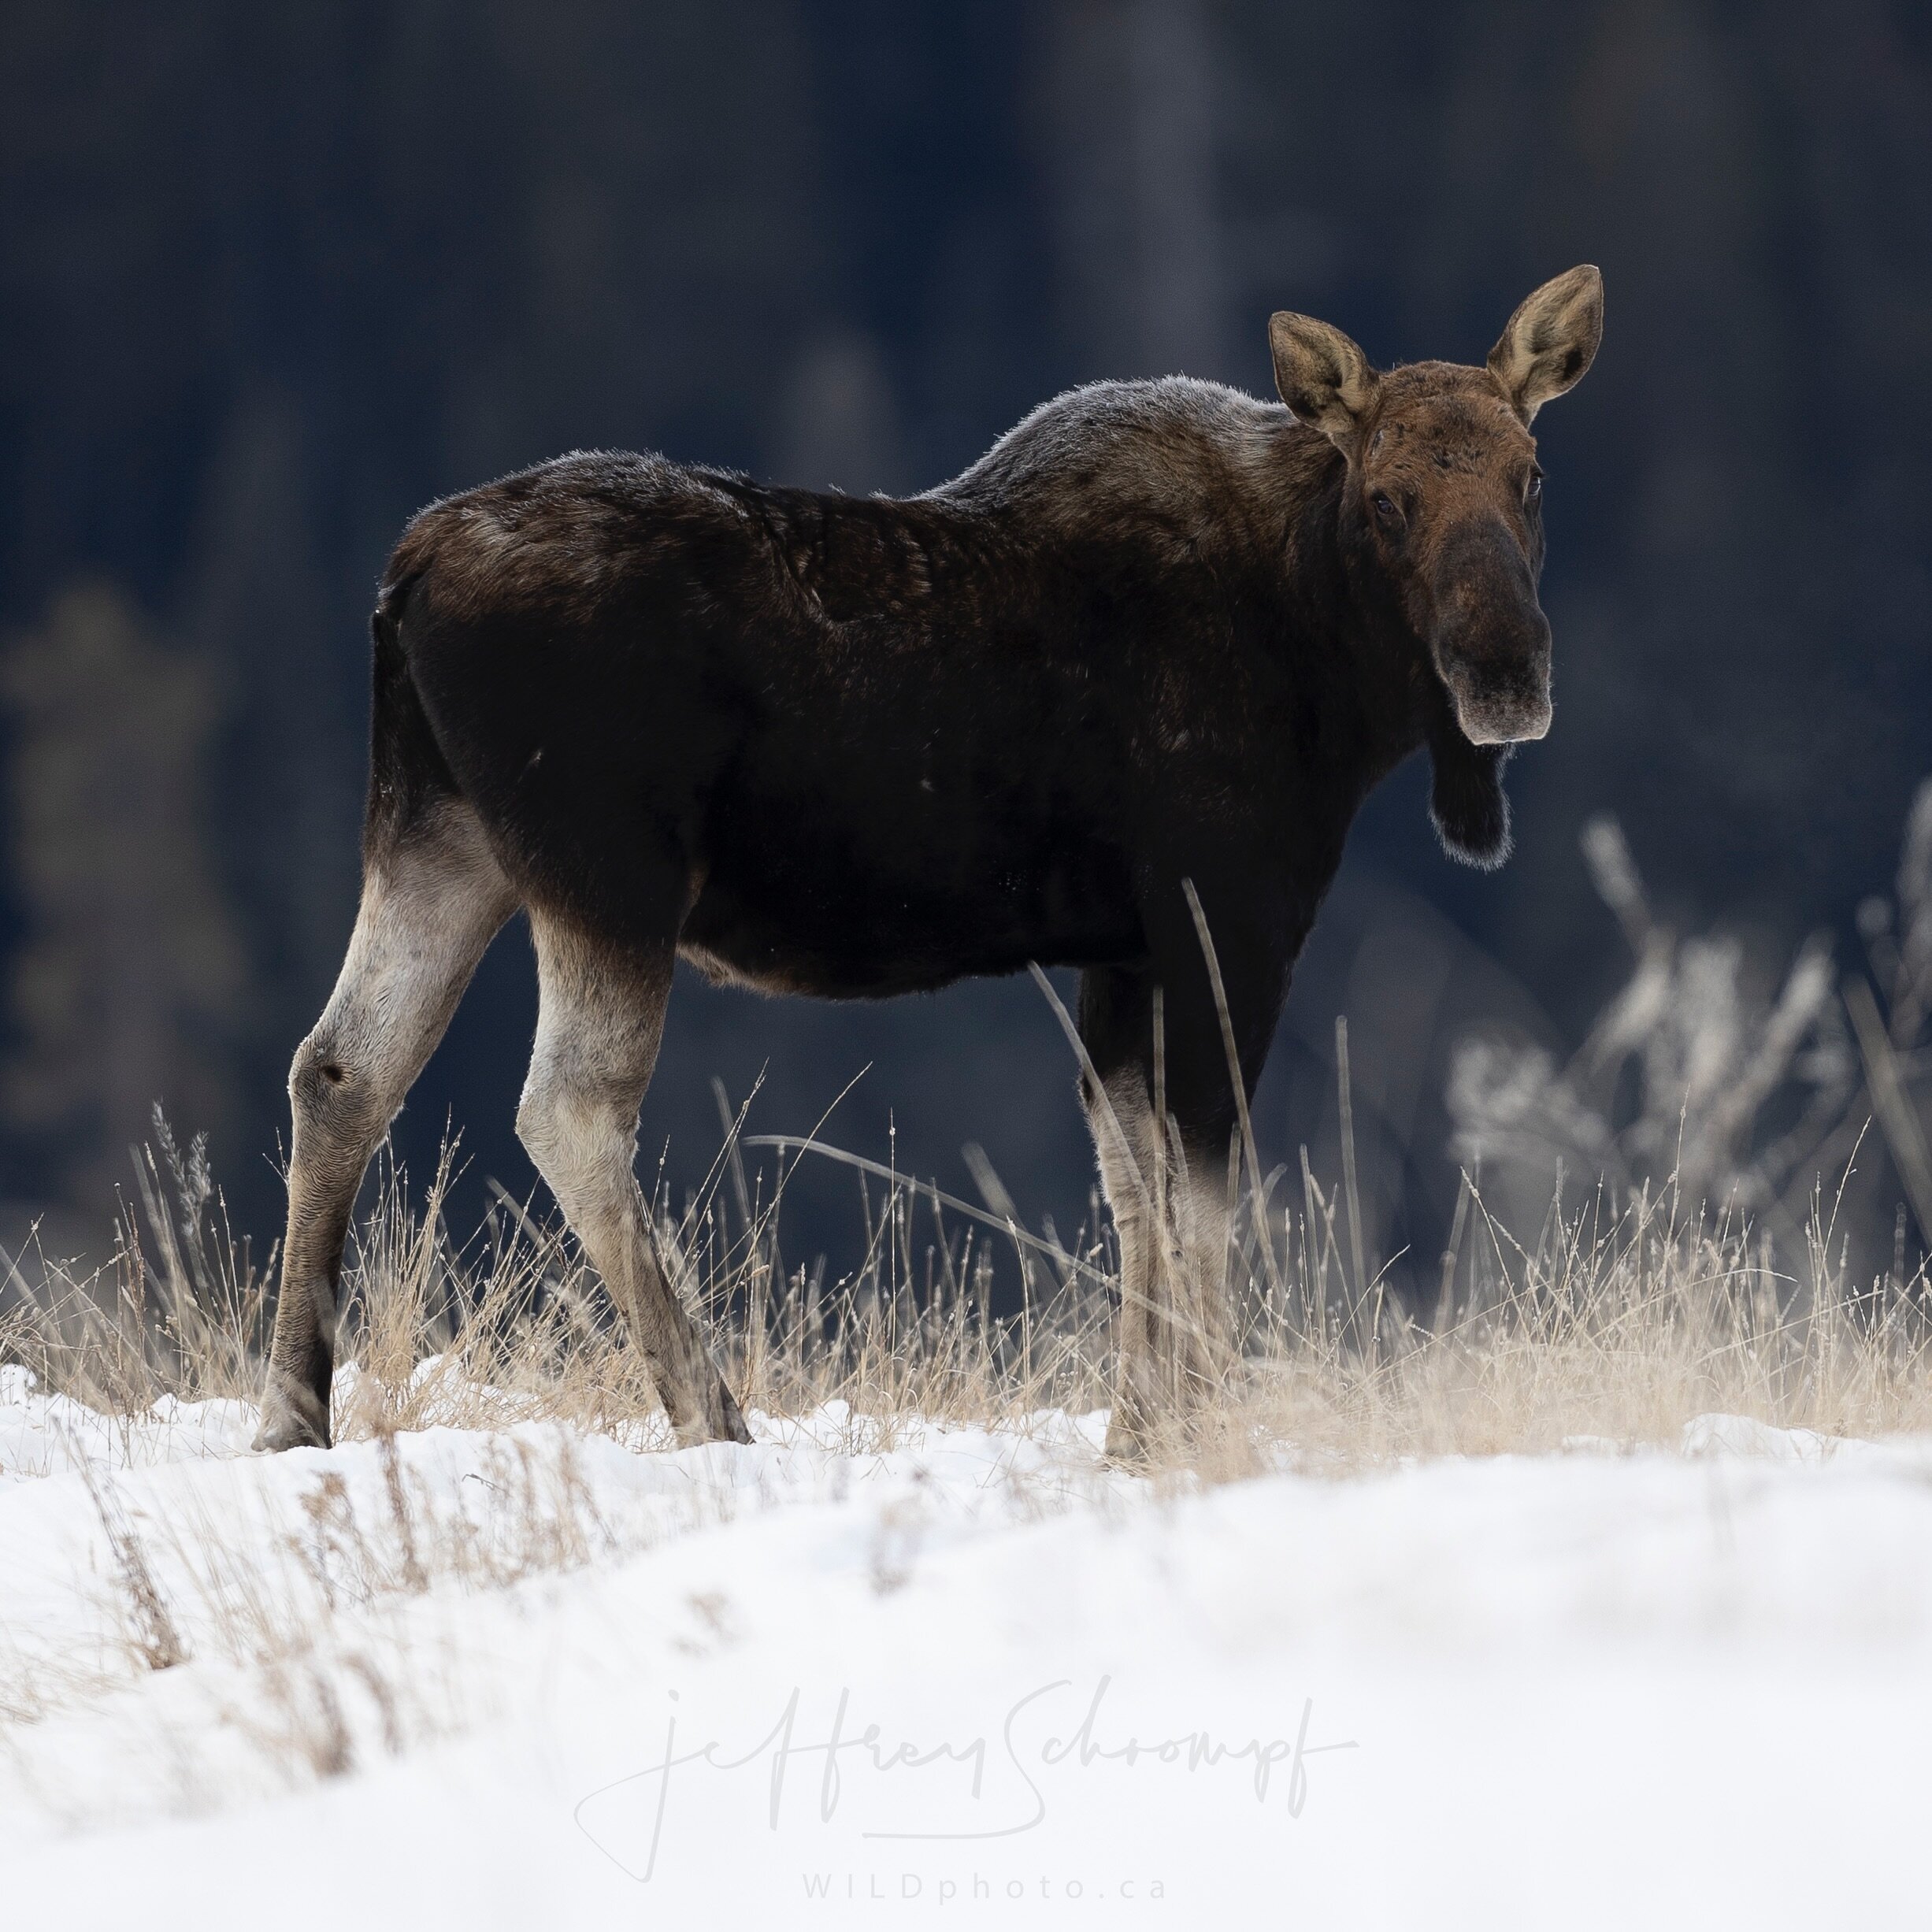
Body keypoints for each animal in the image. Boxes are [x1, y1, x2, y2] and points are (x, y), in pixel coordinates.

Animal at [265, 265, 1607, 1452]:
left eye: (1533, 476)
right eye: (1385, 497)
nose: (1506, 672)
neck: (1326, 663)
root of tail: (403, 578)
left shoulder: (1120, 950)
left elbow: (1135, 1183)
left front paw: (1139, 1430)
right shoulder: (1227, 914)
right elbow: (1203, 1187)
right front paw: (1203, 1421)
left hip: (438, 840)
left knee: (341, 1069)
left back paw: (292, 1420)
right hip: (607, 877)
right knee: (568, 1108)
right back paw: (712, 1412)